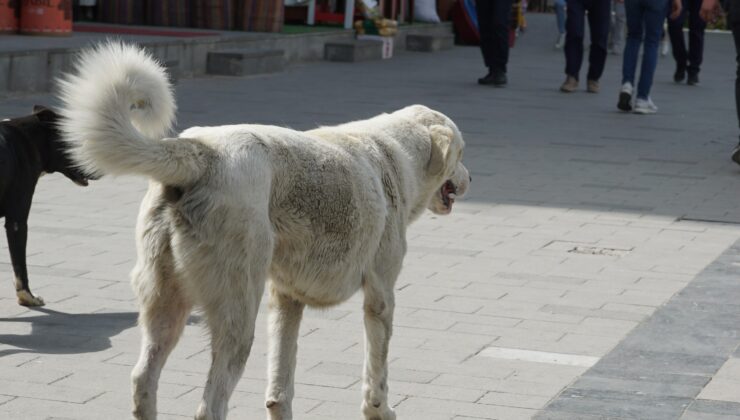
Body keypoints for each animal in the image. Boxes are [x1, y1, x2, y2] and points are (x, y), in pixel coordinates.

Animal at [60, 41, 472, 420]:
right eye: (462, 153)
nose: (471, 179)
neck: (396, 152)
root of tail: (202, 151)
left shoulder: (286, 300)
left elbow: (280, 385)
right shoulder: (381, 297)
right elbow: (377, 374)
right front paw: (381, 410)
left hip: (165, 305)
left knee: (143, 380)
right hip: (238, 312)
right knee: (210, 406)